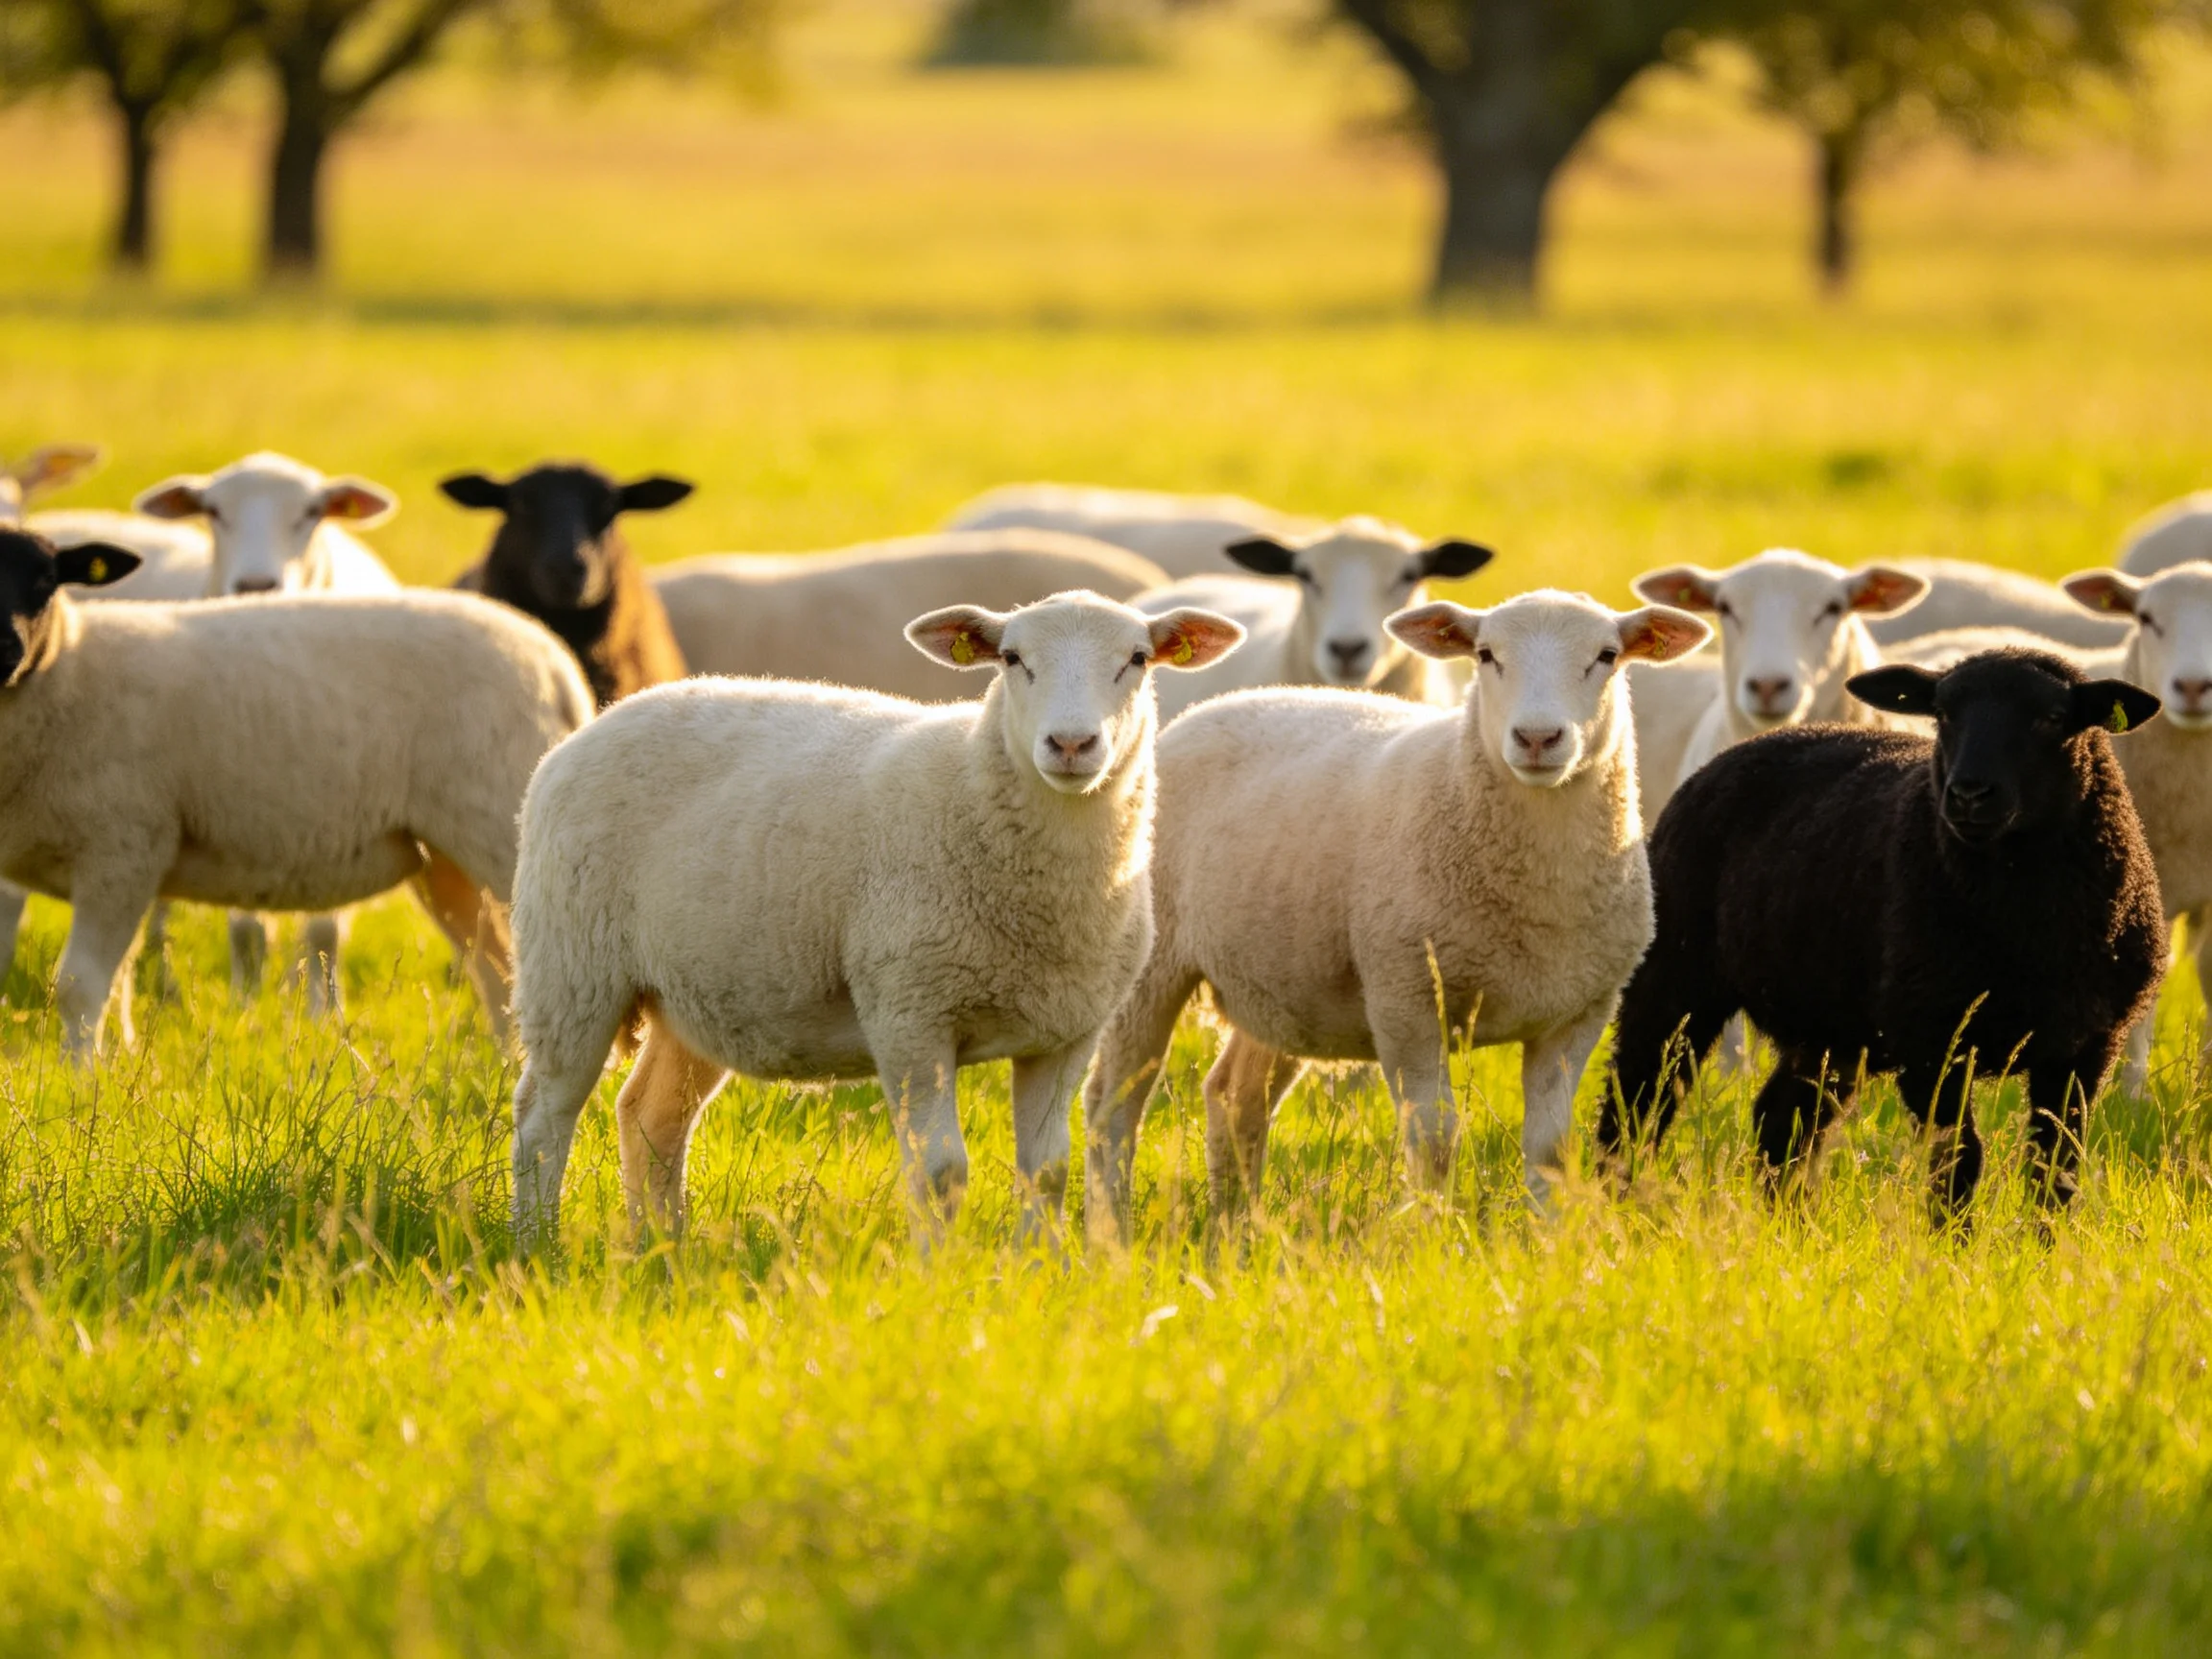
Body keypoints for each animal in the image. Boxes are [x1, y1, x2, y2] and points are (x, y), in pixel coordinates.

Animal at [0, 528, 593, 1061]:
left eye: (47, 581)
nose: (7, 648)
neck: (67, 668)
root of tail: (556, 664)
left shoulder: (123, 849)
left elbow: (78, 986)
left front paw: (80, 1082)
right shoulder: (119, 868)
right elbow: (115, 984)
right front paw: (114, 1068)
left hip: (504, 828)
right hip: (446, 863)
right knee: (495, 969)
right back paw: (504, 1072)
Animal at [131, 451, 405, 1010]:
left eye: (313, 511)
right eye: (213, 510)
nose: (256, 585)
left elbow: (324, 931)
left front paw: (324, 1010)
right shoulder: (228, 803)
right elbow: (247, 929)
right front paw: (246, 1006)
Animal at [505, 589, 1244, 1250]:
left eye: (1138, 658)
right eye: (1011, 658)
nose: (1070, 743)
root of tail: (597, 723)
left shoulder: (1065, 1032)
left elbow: (1046, 1171)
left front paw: (1039, 1270)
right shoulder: (909, 1012)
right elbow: (941, 1171)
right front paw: (937, 1275)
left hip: (697, 994)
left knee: (651, 1116)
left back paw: (662, 1249)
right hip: (571, 966)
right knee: (545, 1117)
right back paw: (537, 1246)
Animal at [1081, 590, 1711, 1243]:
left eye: (1607, 656)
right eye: (1486, 655)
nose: (1537, 738)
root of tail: (1206, 710)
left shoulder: (1578, 1013)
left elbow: (1551, 1151)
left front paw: (1547, 1242)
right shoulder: (1404, 995)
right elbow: (1434, 1141)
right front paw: (1437, 1241)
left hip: (1282, 985)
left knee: (1235, 1097)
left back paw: (1235, 1233)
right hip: (1152, 967)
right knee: (1111, 1105)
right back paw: (1111, 1234)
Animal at [1600, 649, 2165, 1222]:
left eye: (2051, 718)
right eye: (1942, 713)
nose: (1968, 795)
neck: (2029, 932)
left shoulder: (2085, 1047)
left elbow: (2055, 1167)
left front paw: (2043, 1243)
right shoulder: (1929, 1042)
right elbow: (1959, 1160)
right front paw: (1951, 1243)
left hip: (1828, 1025)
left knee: (1782, 1122)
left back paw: (1792, 1227)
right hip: (1674, 977)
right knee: (1636, 1100)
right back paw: (1611, 1205)